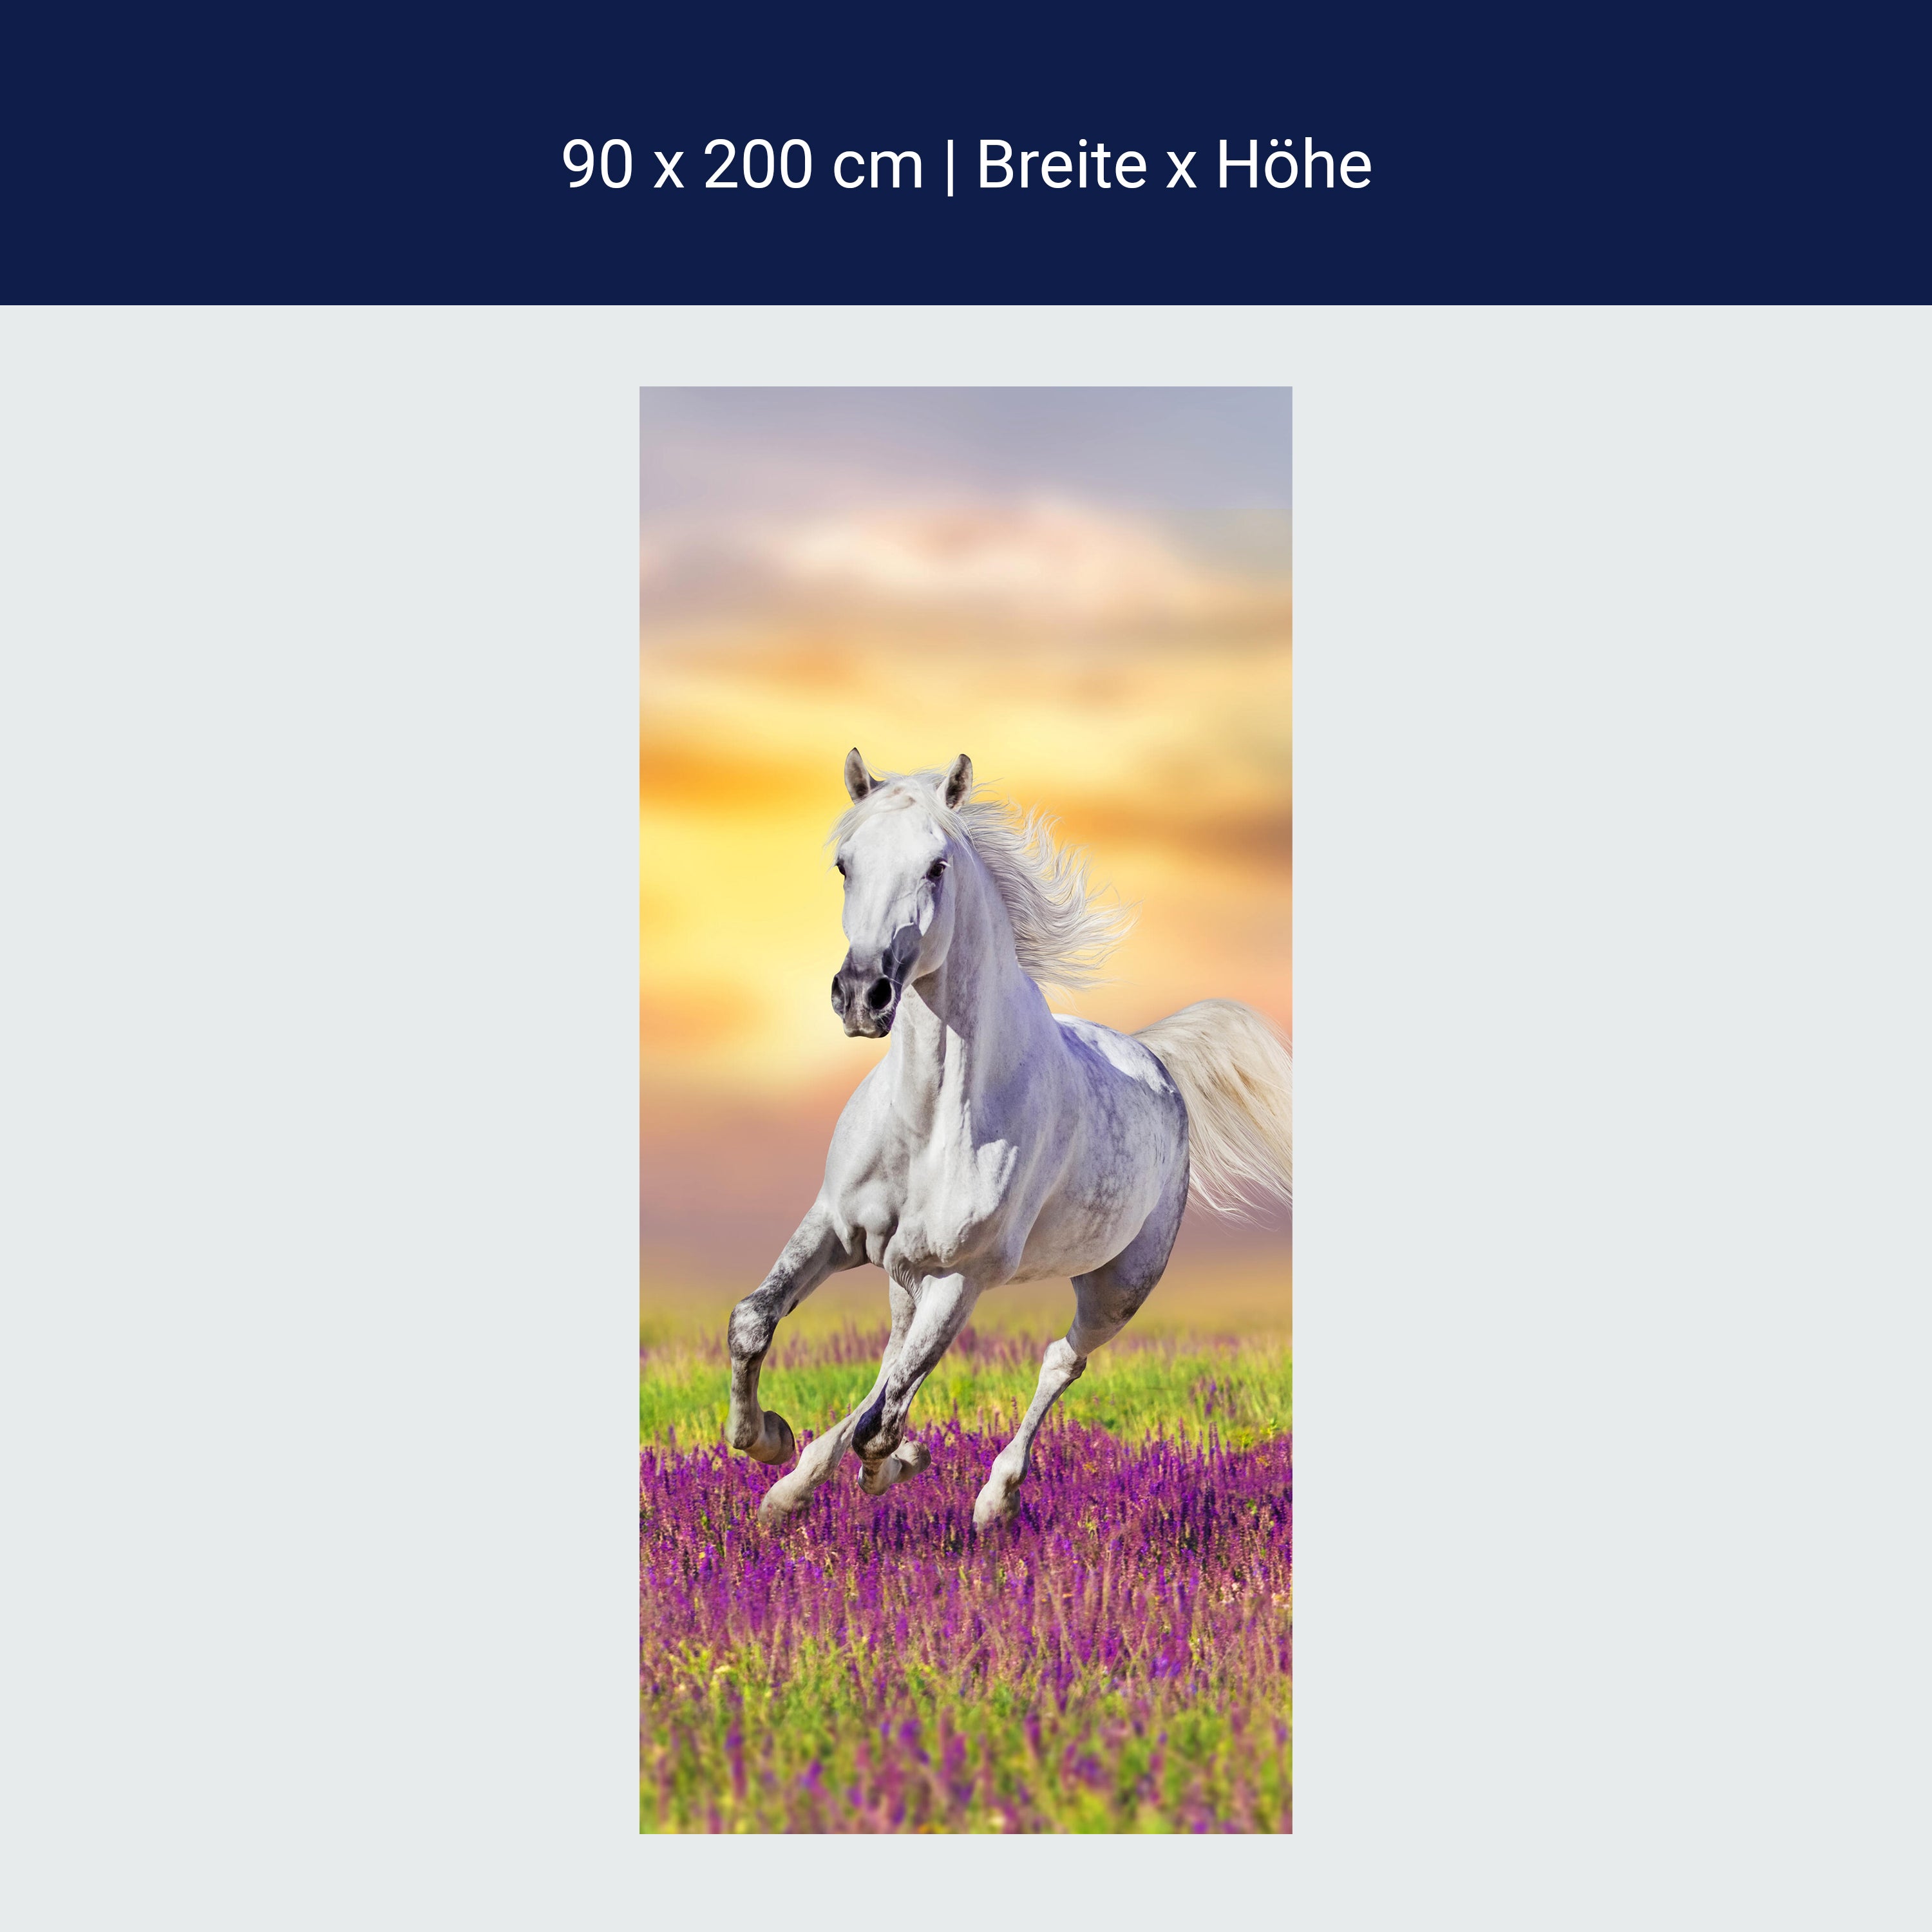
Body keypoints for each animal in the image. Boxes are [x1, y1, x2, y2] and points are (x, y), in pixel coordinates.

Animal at [726, 748, 1293, 1528]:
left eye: (937, 866)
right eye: (845, 863)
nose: (863, 995)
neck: (932, 1118)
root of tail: (1155, 1060)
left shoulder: (962, 1275)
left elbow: (884, 1420)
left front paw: (891, 1465)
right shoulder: (837, 1229)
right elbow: (754, 1322)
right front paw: (769, 1443)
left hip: (1117, 1286)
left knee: (1058, 1360)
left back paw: (993, 1497)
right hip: (907, 1274)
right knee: (891, 1361)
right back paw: (796, 1486)